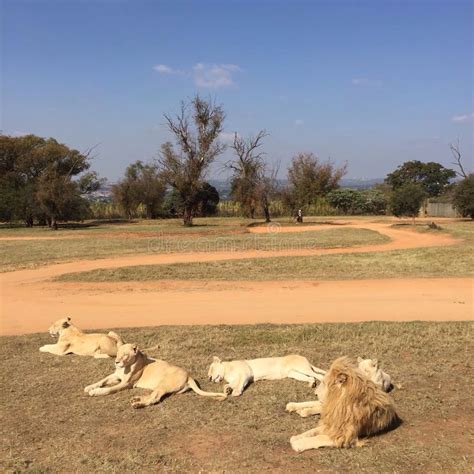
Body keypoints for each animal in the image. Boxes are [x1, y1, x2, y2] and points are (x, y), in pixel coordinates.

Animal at [84, 342, 228, 410]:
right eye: (118, 353)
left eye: (125, 355)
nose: (116, 362)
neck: (125, 367)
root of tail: (189, 376)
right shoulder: (115, 375)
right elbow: (102, 380)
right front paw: (89, 387)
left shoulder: (126, 383)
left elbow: (109, 388)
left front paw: (96, 392)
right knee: (151, 396)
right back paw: (136, 399)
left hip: (164, 384)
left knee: (155, 398)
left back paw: (137, 404)